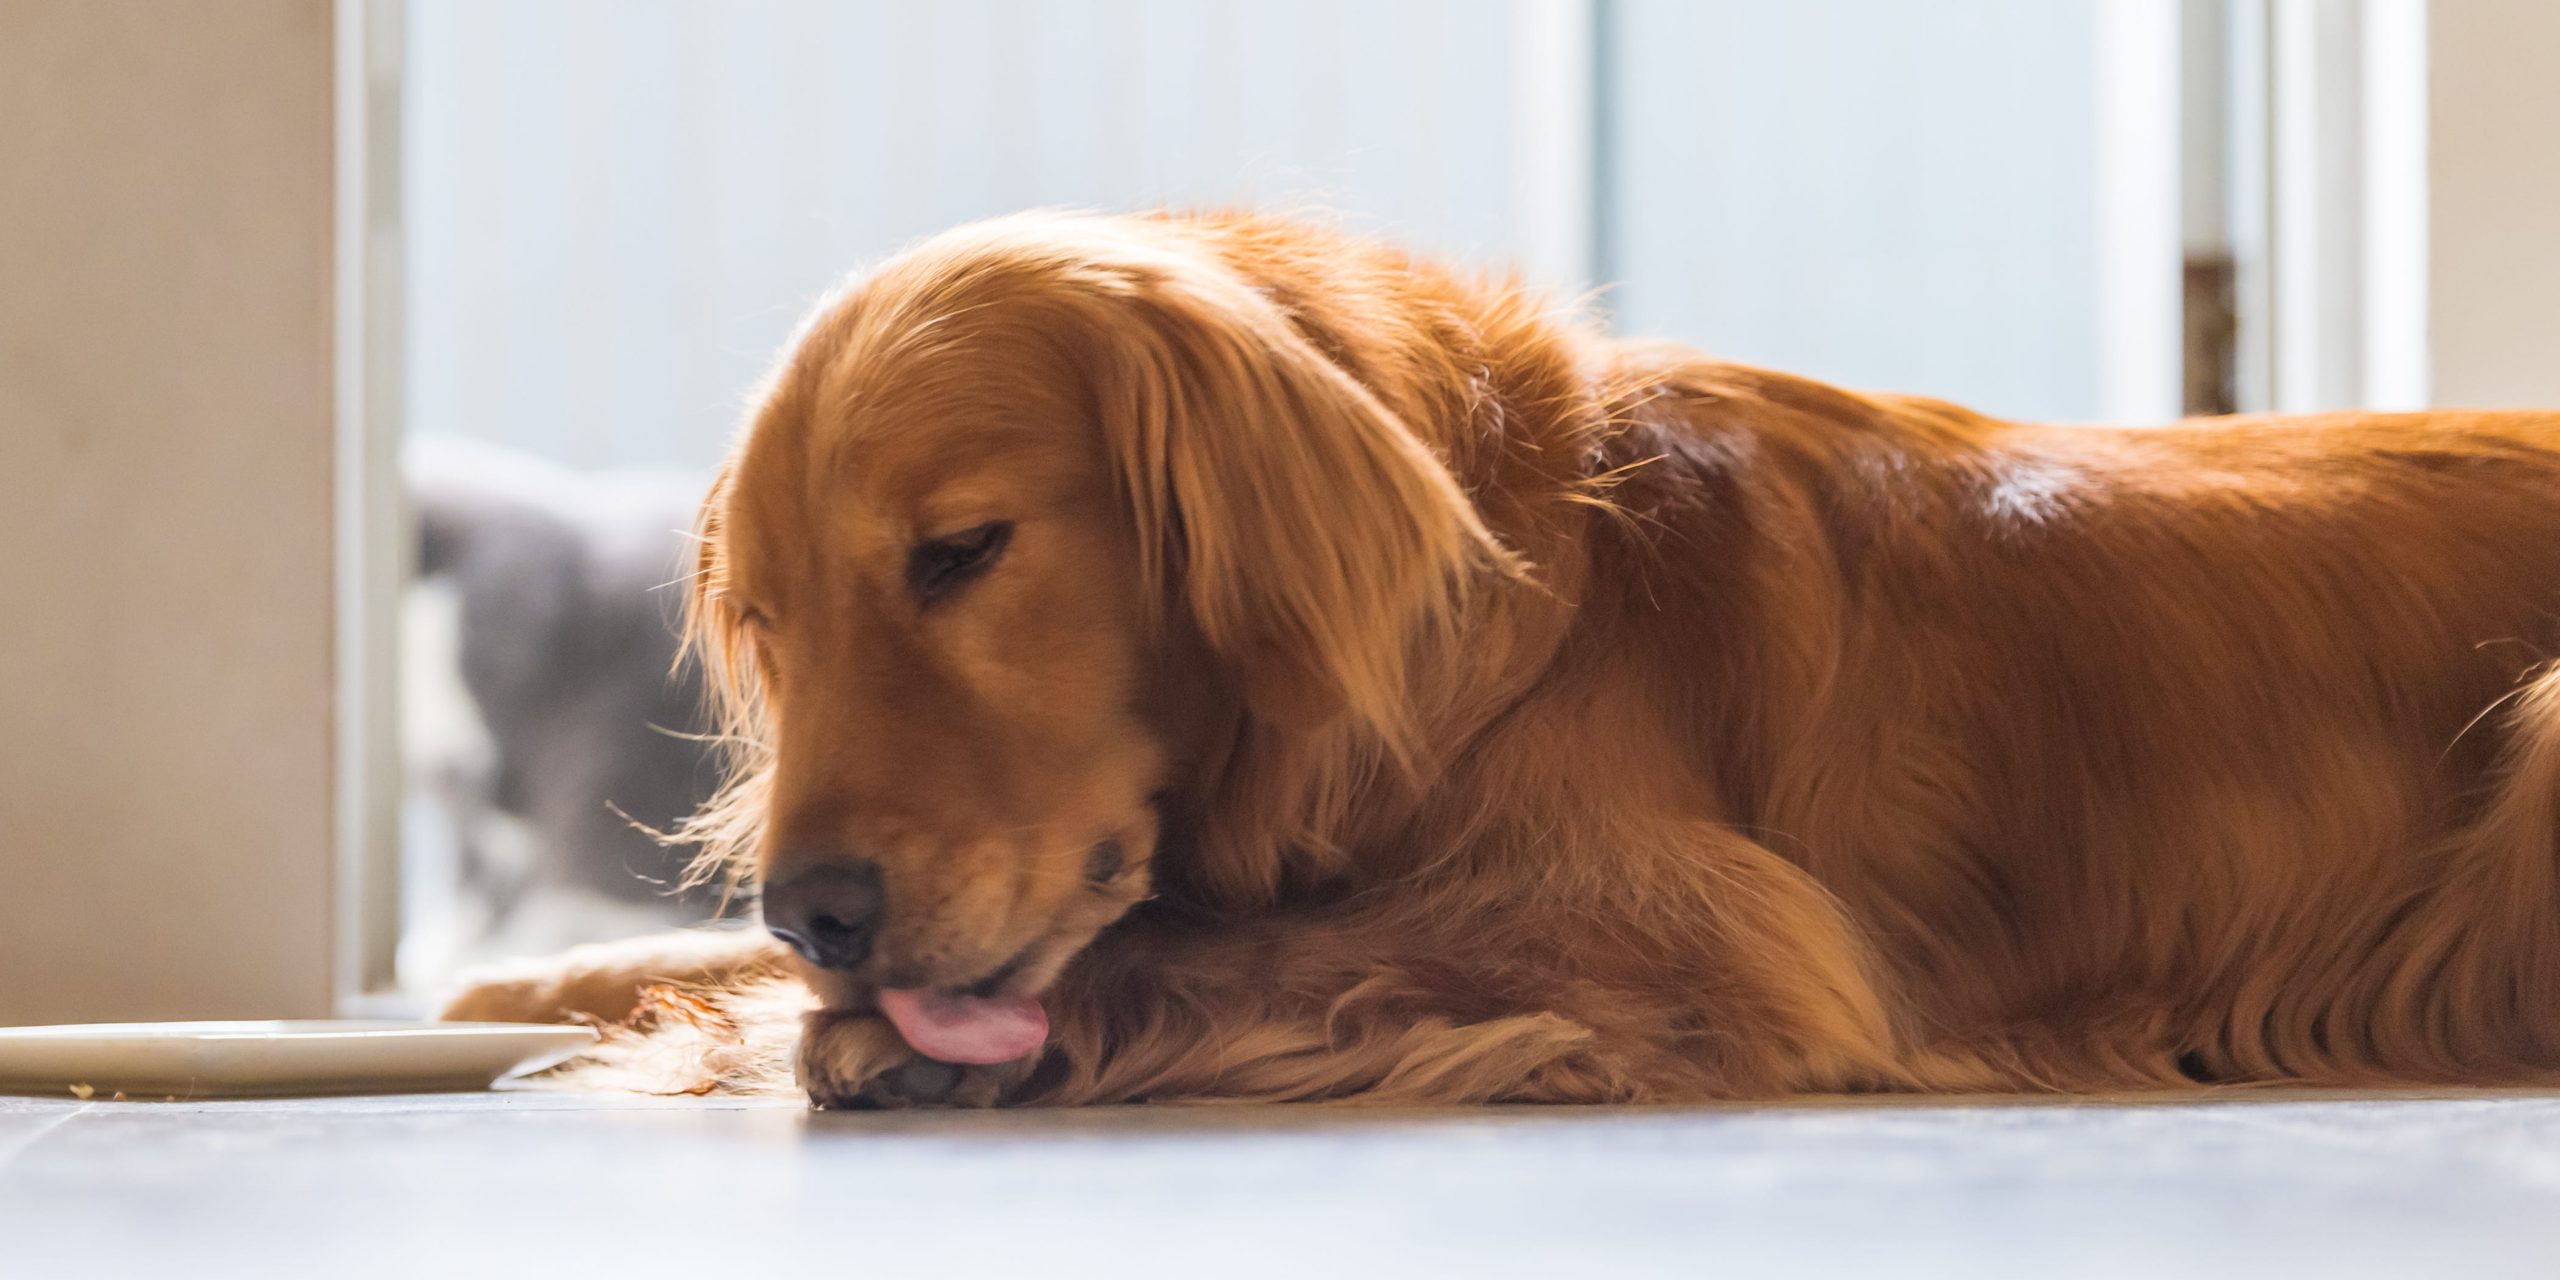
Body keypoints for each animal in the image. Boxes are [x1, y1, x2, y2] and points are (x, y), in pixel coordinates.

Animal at [450, 209, 2560, 1111]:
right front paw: (544, 986)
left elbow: (1247, 946)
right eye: (768, 621)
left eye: (961, 553)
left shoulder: (1714, 930)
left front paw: (851, 1037)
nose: (817, 907)